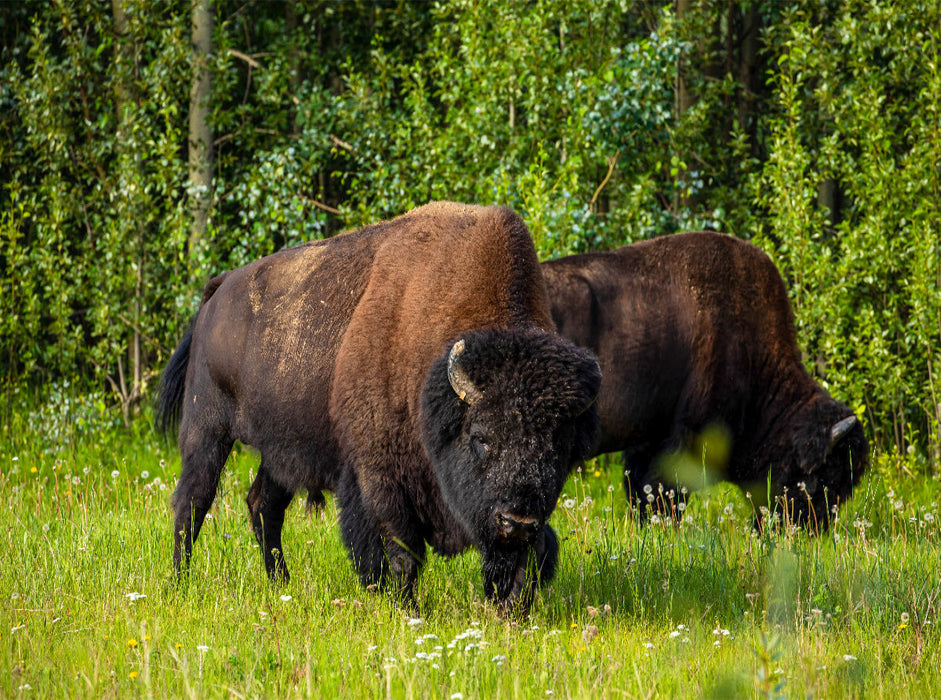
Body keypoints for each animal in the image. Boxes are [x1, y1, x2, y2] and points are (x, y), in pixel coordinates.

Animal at [156, 202, 601, 612]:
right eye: (481, 437)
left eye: (559, 447)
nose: (517, 522)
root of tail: (218, 290)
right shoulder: (380, 476)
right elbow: (401, 550)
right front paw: (406, 609)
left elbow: (531, 558)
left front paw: (511, 609)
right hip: (207, 429)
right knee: (192, 503)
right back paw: (180, 582)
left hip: (280, 449)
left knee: (264, 506)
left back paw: (281, 584)